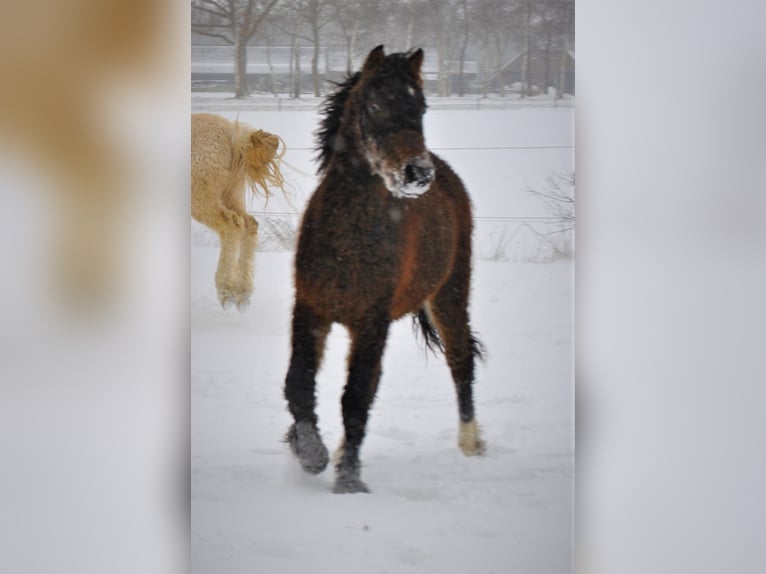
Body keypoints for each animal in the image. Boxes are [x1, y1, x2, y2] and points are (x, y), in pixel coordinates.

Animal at [192, 115, 288, 312]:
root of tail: (232, 132)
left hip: (203, 199)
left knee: (231, 226)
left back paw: (226, 291)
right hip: (231, 195)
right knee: (248, 225)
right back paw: (243, 294)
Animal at [282, 45, 486, 496]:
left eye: (421, 106)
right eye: (374, 104)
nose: (418, 173)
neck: (349, 240)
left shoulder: (371, 323)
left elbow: (356, 397)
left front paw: (348, 480)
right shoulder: (311, 309)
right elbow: (299, 383)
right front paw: (309, 453)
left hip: (450, 295)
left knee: (461, 361)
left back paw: (471, 443)